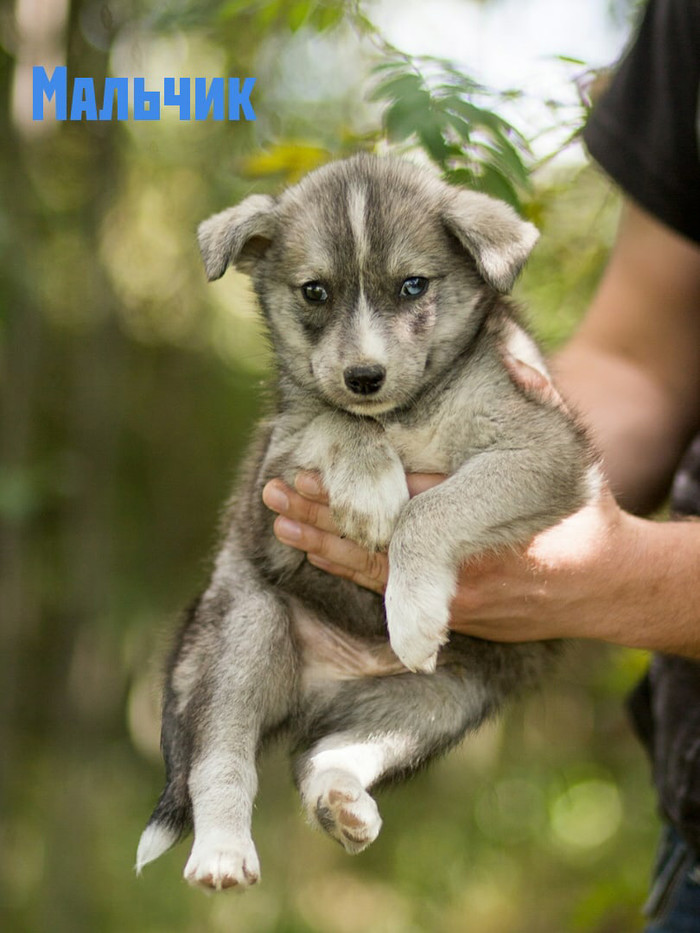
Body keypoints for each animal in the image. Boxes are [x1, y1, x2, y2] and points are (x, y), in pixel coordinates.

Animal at [135, 157, 596, 892]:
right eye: (315, 291)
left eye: (413, 285)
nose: (364, 377)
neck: (406, 412)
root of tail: (325, 688)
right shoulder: (275, 461)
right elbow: (330, 419)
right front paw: (372, 484)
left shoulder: (546, 450)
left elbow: (431, 508)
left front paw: (409, 610)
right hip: (245, 626)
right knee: (220, 755)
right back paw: (223, 852)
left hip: (435, 699)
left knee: (325, 755)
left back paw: (341, 799)